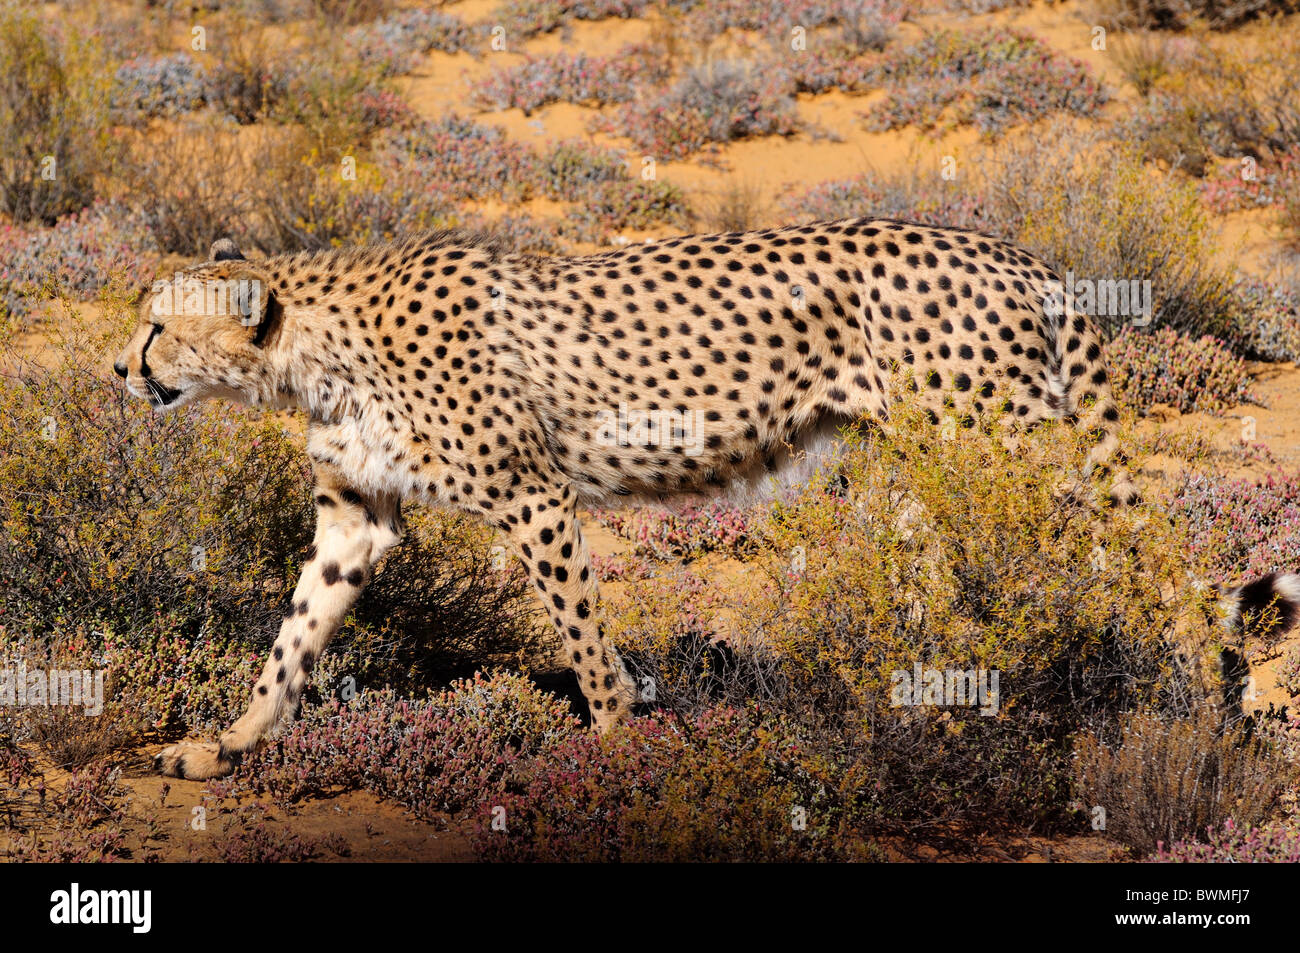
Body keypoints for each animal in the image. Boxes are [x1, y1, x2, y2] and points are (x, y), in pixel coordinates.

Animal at [114, 219, 1300, 774]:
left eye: (158, 326)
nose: (121, 369)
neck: (309, 348)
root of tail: (1012, 250)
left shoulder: (536, 499)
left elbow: (587, 643)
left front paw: (611, 749)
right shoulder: (356, 518)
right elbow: (291, 638)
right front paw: (226, 743)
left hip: (1003, 451)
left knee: (1149, 561)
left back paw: (1215, 704)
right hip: (917, 470)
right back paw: (909, 718)